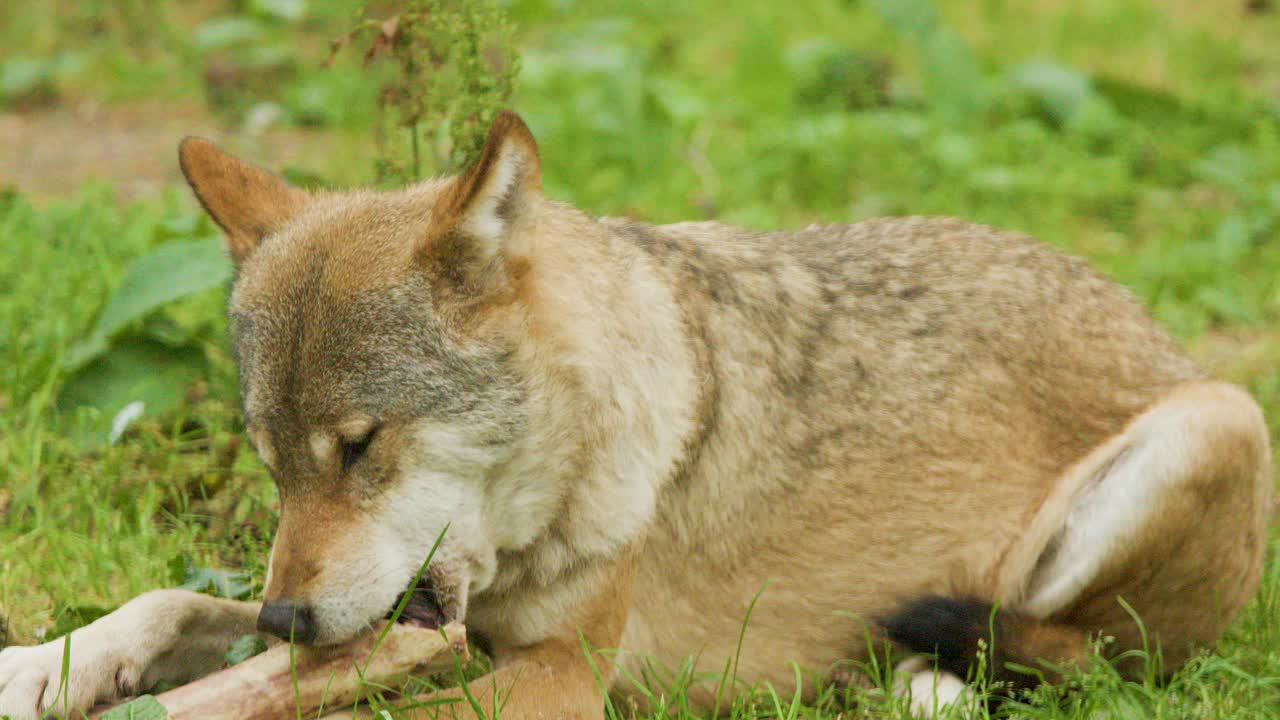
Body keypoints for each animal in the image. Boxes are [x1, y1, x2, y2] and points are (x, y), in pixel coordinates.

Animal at [0, 111, 1271, 719]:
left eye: (360, 449)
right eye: (272, 466)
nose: (288, 621)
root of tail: (1141, 312)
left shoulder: (558, 678)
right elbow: (166, 601)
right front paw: (44, 669)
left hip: (1214, 421)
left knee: (1086, 660)